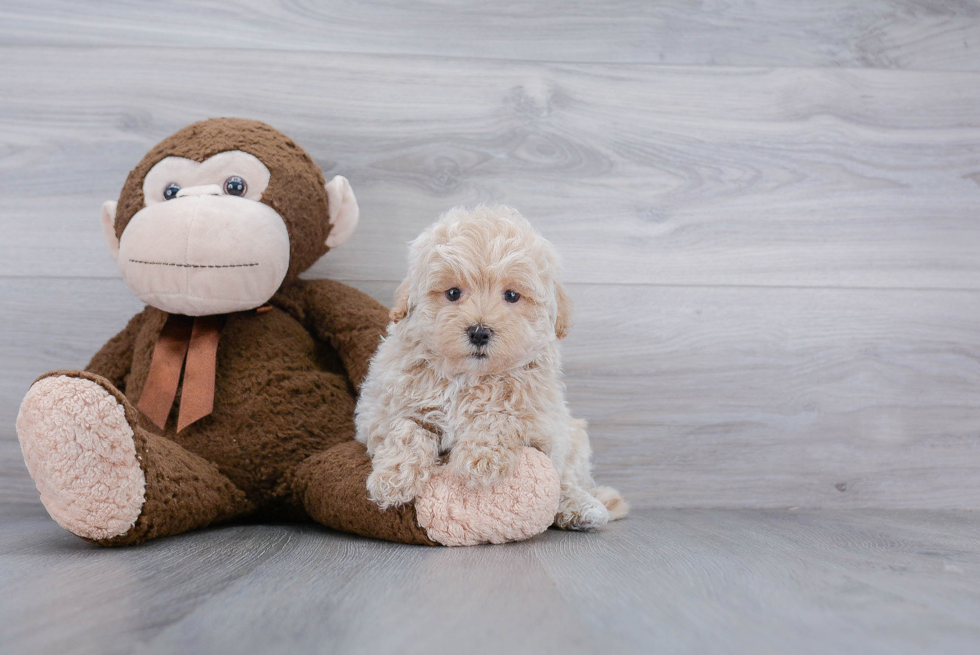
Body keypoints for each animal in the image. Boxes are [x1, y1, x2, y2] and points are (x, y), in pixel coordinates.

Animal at [354, 208, 628, 532]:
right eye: (453, 293)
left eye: (511, 296)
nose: (479, 332)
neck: (467, 377)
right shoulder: (383, 411)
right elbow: (407, 429)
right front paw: (392, 479)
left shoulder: (541, 425)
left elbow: (500, 416)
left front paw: (481, 460)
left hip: (573, 439)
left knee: (567, 481)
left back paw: (581, 507)